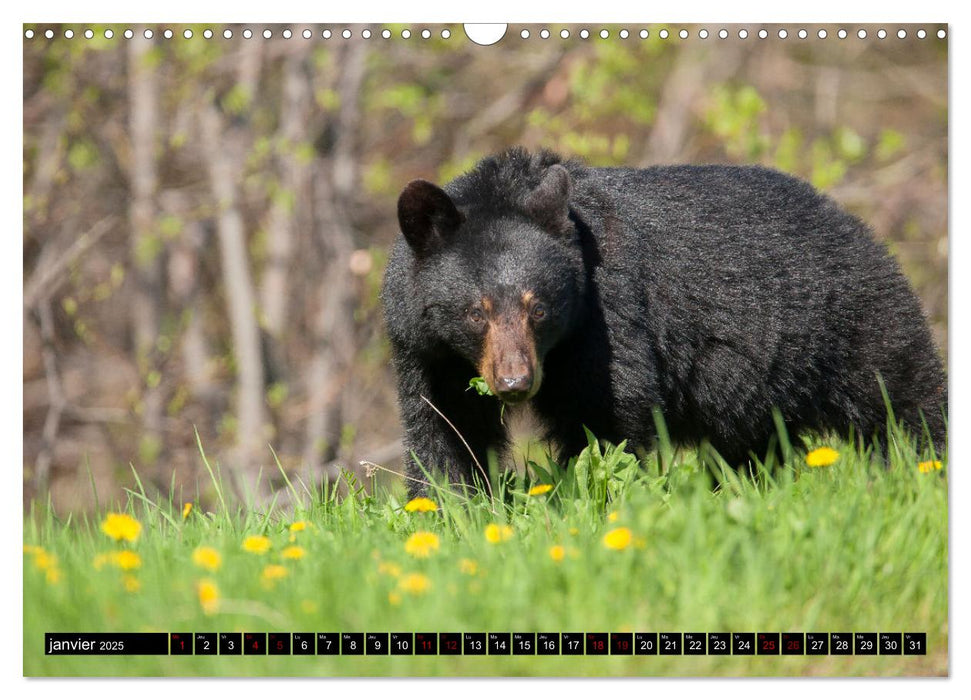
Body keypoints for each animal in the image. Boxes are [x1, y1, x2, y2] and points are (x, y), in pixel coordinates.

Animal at [382, 148, 948, 492]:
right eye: (475, 312)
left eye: (538, 308)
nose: (515, 382)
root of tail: (856, 224)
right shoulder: (425, 351)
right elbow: (443, 428)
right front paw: (451, 504)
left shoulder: (607, 319)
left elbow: (606, 419)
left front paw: (592, 492)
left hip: (852, 324)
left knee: (903, 400)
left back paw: (924, 468)